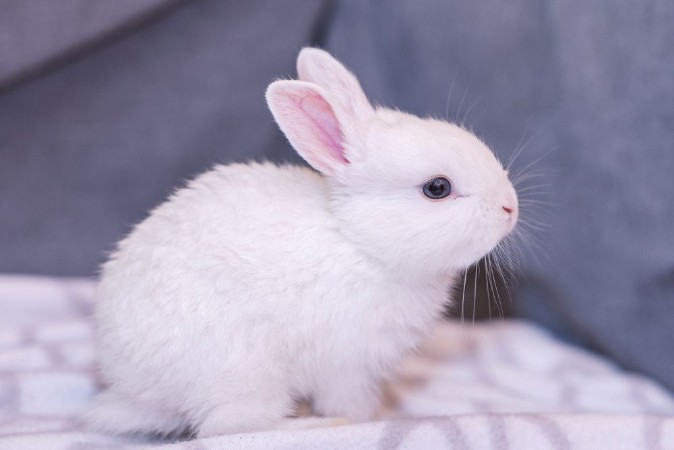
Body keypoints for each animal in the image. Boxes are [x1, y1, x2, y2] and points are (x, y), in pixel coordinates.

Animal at [84, 48, 518, 438]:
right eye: (437, 188)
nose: (510, 207)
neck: (360, 243)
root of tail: (130, 387)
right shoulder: (347, 366)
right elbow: (353, 403)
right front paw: (367, 420)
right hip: (248, 372)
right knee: (226, 428)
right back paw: (316, 424)